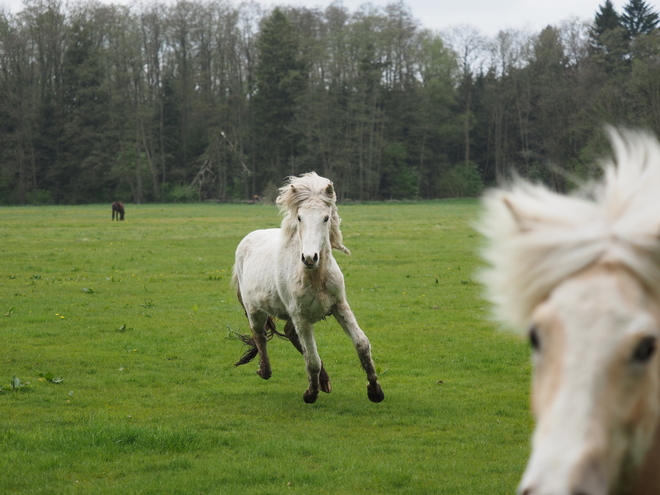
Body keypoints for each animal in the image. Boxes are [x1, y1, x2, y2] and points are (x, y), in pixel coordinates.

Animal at [233, 172, 384, 404]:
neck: (314, 277)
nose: (310, 258)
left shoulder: (339, 306)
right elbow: (312, 359)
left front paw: (375, 390)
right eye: (299, 218)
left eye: (326, 218)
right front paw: (310, 393)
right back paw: (265, 371)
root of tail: (249, 237)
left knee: (289, 334)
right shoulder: (301, 316)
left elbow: (361, 344)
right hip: (255, 309)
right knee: (260, 335)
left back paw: (324, 381)